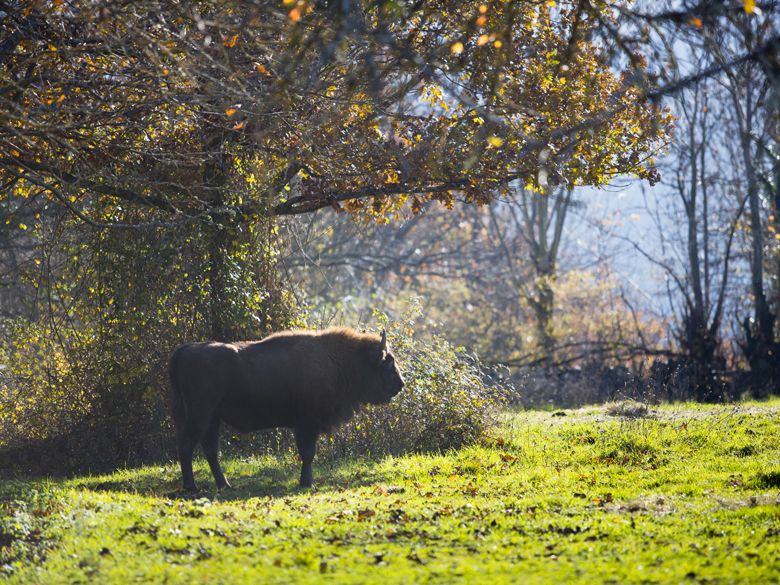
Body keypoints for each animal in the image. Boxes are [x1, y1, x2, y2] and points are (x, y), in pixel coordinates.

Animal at [168, 328, 406, 488]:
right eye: (388, 362)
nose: (401, 384)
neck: (339, 361)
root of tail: (184, 350)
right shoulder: (308, 423)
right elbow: (308, 453)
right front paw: (306, 483)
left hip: (212, 418)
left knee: (210, 449)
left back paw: (224, 485)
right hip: (200, 414)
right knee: (187, 445)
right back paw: (192, 487)